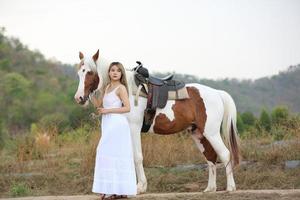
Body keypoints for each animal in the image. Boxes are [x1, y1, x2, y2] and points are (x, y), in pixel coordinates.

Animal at [74, 50, 240, 194]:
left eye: (89, 72)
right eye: (79, 73)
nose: (79, 98)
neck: (129, 90)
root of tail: (217, 93)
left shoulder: (133, 128)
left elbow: (137, 157)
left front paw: (140, 187)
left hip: (211, 133)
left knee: (225, 154)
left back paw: (231, 187)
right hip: (198, 133)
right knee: (210, 158)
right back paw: (210, 189)